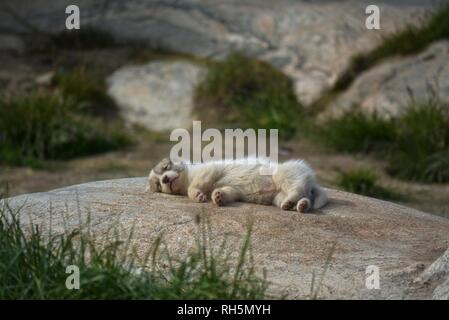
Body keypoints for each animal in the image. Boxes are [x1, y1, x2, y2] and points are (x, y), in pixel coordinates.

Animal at [145, 158, 328, 212]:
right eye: (158, 185)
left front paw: (198, 195)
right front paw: (218, 197)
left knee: (295, 186)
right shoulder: (231, 189)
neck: (187, 177)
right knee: (302, 196)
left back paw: (293, 202)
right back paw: (298, 205)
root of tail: (313, 181)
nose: (165, 180)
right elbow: (230, 191)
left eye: (165, 167)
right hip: (278, 195)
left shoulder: (209, 169)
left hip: (286, 173)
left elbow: (199, 182)